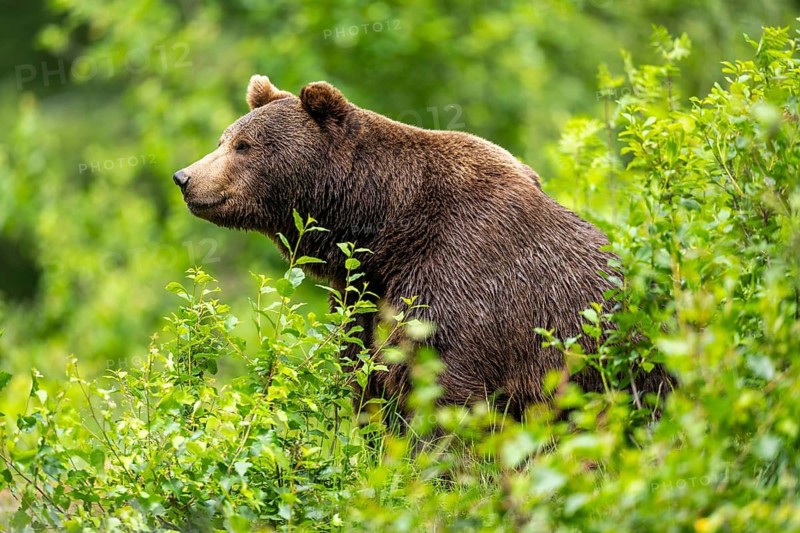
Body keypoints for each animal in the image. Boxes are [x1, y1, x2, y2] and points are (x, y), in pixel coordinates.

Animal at [173, 75, 671, 419]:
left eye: (244, 145)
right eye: (224, 139)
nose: (185, 177)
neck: (381, 227)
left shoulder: (462, 273)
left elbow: (442, 388)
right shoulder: (365, 292)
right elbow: (367, 376)